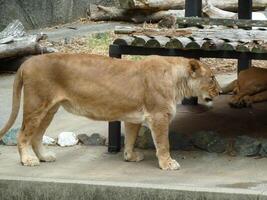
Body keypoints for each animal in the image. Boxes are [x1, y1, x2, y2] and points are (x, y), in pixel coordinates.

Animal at [0, 53, 221, 170]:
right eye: (211, 78)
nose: (219, 92)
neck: (178, 81)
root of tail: (26, 63)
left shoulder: (134, 117)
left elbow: (131, 138)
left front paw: (130, 157)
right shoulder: (159, 116)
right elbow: (163, 143)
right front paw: (167, 163)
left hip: (49, 110)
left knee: (36, 136)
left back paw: (44, 157)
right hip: (36, 106)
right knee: (23, 135)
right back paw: (28, 160)